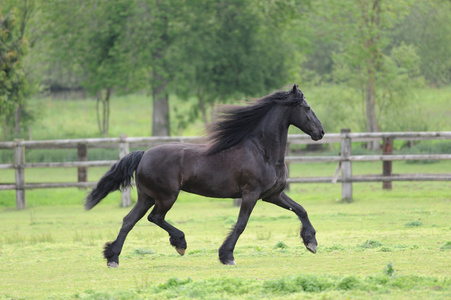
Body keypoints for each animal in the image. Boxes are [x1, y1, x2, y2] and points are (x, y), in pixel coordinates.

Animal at [85, 84, 324, 268]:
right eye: (306, 107)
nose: (320, 132)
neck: (262, 151)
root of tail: (143, 154)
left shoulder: (273, 194)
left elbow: (301, 209)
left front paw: (311, 242)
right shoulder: (251, 194)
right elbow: (241, 224)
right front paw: (227, 256)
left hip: (147, 197)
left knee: (129, 221)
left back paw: (113, 258)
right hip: (166, 196)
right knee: (155, 217)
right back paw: (180, 243)